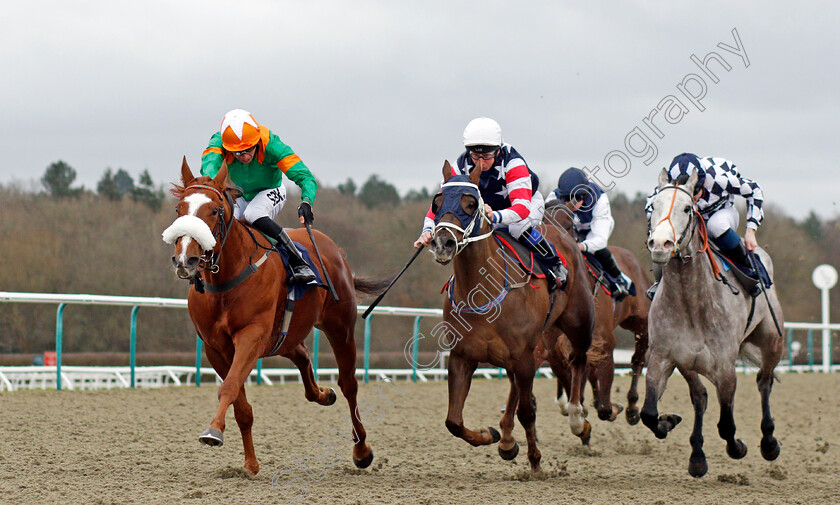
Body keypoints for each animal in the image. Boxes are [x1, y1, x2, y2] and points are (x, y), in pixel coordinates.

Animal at [162, 159, 388, 474]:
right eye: (178, 209)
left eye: (215, 211)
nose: (186, 259)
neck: (226, 279)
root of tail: (334, 249)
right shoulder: (215, 347)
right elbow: (241, 405)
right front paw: (251, 463)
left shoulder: (251, 336)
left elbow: (229, 387)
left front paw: (213, 431)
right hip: (284, 335)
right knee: (303, 356)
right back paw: (323, 394)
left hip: (340, 326)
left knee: (349, 385)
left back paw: (362, 450)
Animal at [430, 159, 592, 470]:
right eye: (437, 201)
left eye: (471, 203)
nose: (442, 243)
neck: (482, 290)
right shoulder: (462, 356)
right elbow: (453, 421)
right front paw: (490, 435)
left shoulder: (524, 356)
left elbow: (527, 412)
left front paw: (536, 462)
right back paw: (506, 439)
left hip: (578, 322)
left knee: (578, 360)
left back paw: (578, 419)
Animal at [540, 201, 652, 430]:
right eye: (542, 221)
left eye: (569, 224)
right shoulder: (555, 346)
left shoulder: (605, 341)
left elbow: (605, 400)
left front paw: (611, 407)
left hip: (640, 323)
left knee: (637, 360)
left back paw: (631, 408)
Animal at [640, 168, 784, 476]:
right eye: (653, 207)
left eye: (687, 208)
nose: (660, 245)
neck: (691, 303)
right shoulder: (662, 357)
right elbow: (648, 413)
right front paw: (667, 421)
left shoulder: (725, 368)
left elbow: (727, 425)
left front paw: (738, 447)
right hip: (688, 363)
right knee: (700, 396)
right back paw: (697, 456)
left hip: (772, 341)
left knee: (764, 380)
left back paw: (769, 442)